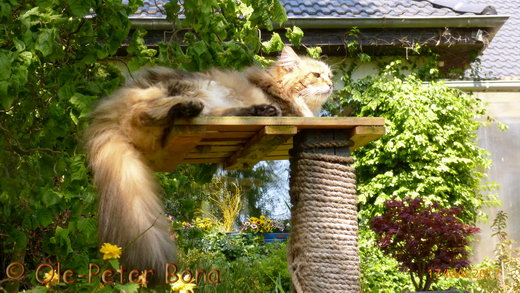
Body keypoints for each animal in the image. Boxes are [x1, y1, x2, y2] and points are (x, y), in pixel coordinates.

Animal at [82, 45, 334, 280]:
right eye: (316, 75)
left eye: (329, 75)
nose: (332, 84)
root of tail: (112, 106)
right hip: (191, 90)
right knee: (145, 113)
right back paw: (189, 109)